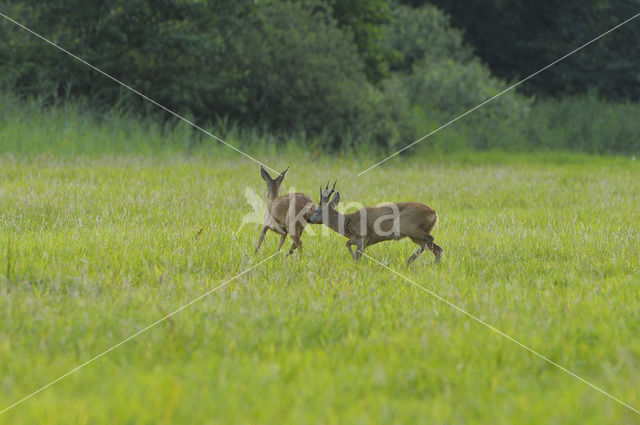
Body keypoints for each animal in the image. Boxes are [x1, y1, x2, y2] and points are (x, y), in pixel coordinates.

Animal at [308, 181, 442, 264]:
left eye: (316, 210)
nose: (309, 219)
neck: (348, 223)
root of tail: (434, 213)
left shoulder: (363, 236)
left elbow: (357, 253)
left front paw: (355, 263)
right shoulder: (358, 239)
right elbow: (347, 244)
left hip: (409, 227)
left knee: (430, 239)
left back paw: (409, 260)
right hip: (415, 234)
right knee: (437, 249)